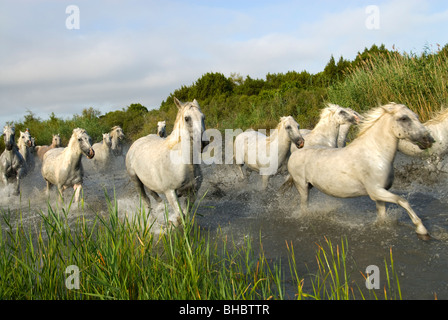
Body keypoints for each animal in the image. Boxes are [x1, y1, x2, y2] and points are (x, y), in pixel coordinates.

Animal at [126, 97, 208, 225]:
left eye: (203, 117)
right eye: (187, 118)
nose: (203, 143)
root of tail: (136, 142)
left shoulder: (193, 192)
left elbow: (185, 215)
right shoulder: (170, 192)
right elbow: (180, 216)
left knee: (154, 196)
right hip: (136, 180)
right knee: (146, 201)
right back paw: (151, 221)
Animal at [286, 104, 436, 239]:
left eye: (416, 116)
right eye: (404, 118)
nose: (429, 140)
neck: (375, 153)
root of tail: (295, 153)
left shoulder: (379, 194)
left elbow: (382, 214)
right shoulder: (375, 191)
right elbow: (403, 201)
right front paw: (422, 230)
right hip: (302, 187)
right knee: (304, 207)